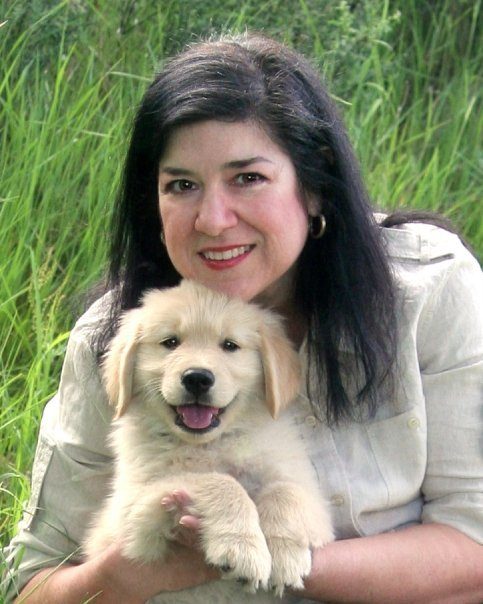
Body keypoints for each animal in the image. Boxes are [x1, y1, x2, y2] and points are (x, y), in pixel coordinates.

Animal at [84, 280, 333, 603]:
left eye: (229, 346)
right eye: (171, 342)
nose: (197, 378)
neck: (213, 443)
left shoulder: (306, 489)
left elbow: (286, 491)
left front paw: (285, 556)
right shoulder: (134, 506)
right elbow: (217, 481)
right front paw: (243, 549)